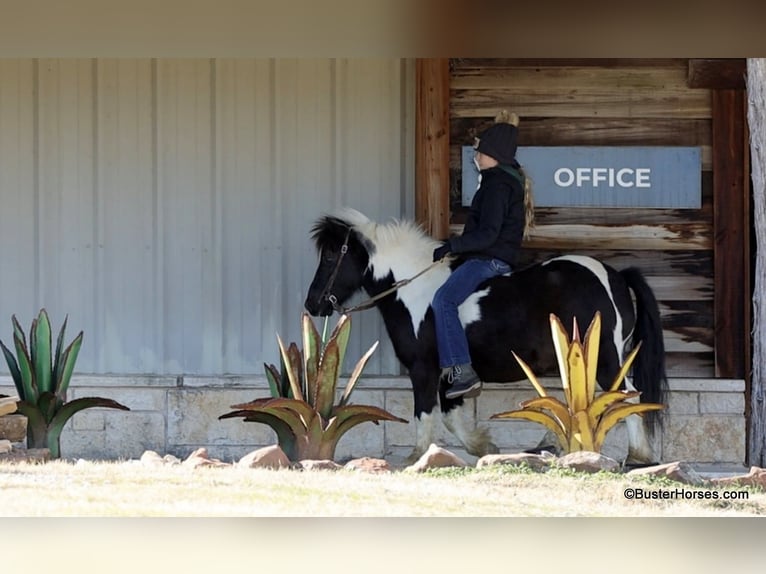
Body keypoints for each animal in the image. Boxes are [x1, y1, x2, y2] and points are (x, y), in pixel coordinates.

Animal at [304, 207, 667, 464]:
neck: (414, 290)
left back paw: (637, 456)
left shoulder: (423, 369)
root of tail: (614, 275)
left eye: (333, 255)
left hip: (603, 360)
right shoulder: (450, 377)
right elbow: (452, 418)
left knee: (628, 396)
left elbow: (424, 414)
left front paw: (417, 456)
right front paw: (484, 447)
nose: (313, 303)